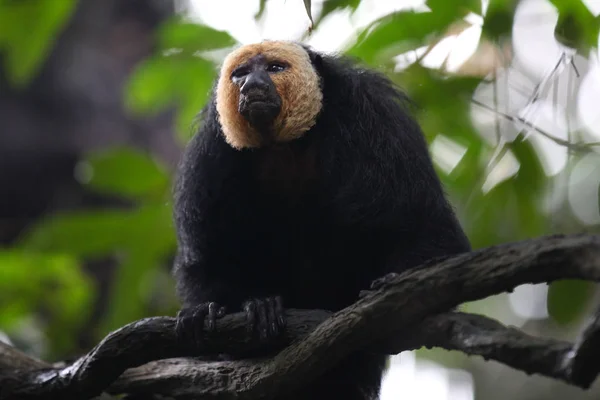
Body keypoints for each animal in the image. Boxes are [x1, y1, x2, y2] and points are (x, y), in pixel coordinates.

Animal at [171, 40, 472, 400]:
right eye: (240, 74)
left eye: (274, 68)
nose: (252, 85)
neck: (286, 147)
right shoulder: (212, 150)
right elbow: (207, 254)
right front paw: (210, 310)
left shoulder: (373, 118)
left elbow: (424, 224)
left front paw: (398, 285)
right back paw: (262, 307)